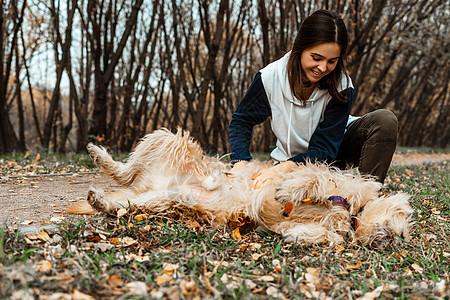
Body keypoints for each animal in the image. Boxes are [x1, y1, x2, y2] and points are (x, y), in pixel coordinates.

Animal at [77, 127, 414, 247]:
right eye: (405, 216)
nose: (399, 239)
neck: (352, 212)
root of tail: (149, 181)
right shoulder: (320, 175)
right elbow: (312, 180)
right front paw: (289, 191)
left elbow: (326, 236)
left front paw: (304, 237)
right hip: (168, 139)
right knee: (124, 171)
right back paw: (98, 154)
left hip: (160, 200)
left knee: (125, 201)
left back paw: (100, 201)